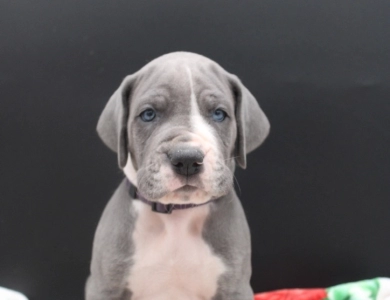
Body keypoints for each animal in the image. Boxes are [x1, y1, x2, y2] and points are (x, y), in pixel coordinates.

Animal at [85, 52, 270, 300]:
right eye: (148, 114)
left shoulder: (235, 288)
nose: (187, 159)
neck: (177, 217)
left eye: (219, 114)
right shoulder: (104, 287)